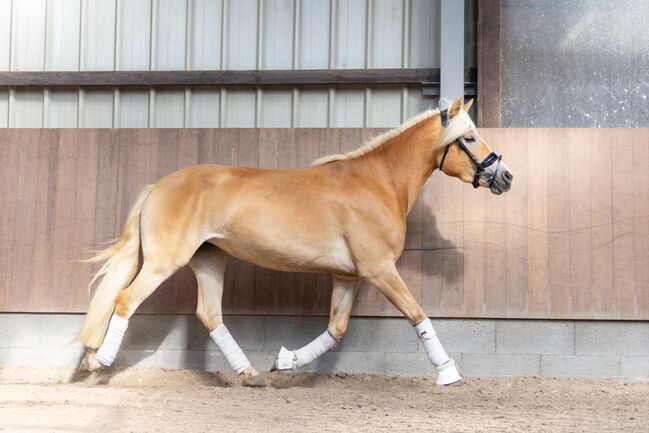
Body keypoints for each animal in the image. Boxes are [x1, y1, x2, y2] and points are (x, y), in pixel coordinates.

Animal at [77, 97, 512, 384]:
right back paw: (98, 363)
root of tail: (158, 185)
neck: (379, 183)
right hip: (164, 261)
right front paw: (449, 372)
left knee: (210, 314)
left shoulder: (348, 277)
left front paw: (285, 361)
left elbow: (336, 329)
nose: (505, 177)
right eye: (470, 138)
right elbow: (418, 314)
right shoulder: (379, 270)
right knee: (125, 300)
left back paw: (250, 373)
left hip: (210, 260)